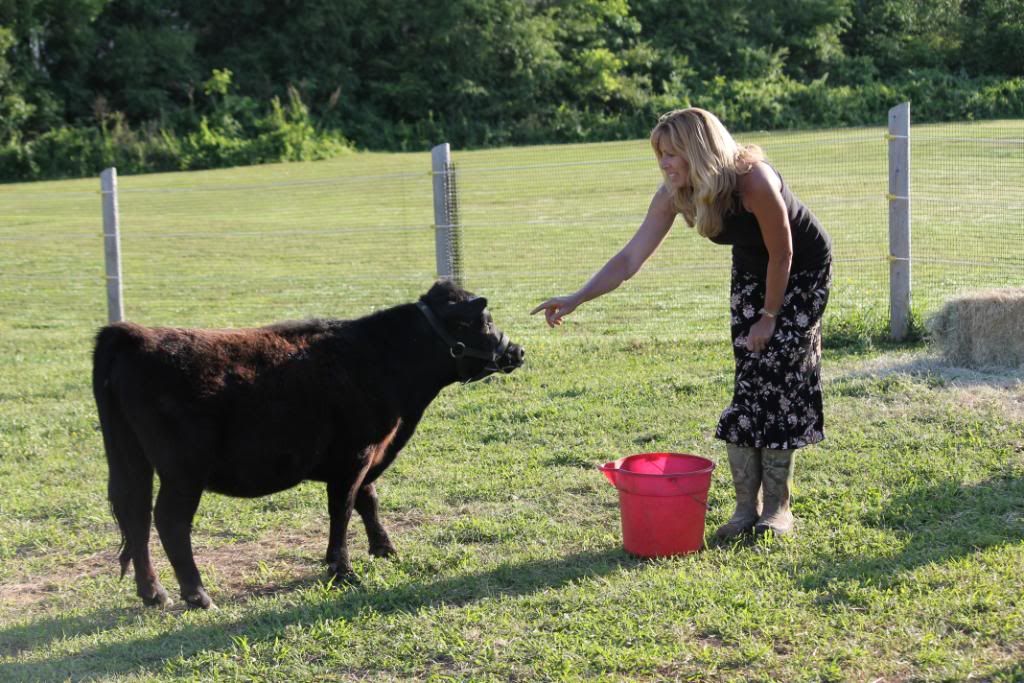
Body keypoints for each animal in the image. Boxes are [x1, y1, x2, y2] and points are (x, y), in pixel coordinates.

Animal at [92, 280, 524, 609]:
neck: (380, 358)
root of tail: (135, 335)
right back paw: (197, 595)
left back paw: (154, 593)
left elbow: (368, 500)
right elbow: (343, 510)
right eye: (482, 321)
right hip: (183, 472)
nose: (516, 351)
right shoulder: (354, 455)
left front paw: (383, 548)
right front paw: (342, 569)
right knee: (169, 521)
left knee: (136, 517)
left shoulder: (368, 455)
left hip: (132, 460)